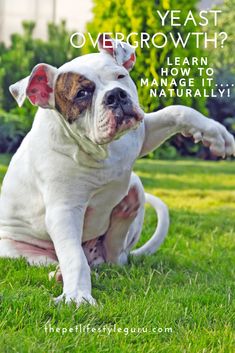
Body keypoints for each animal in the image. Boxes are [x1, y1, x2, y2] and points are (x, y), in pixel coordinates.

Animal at [0, 33, 234, 306]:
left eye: (120, 76)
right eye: (82, 93)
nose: (116, 96)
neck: (98, 148)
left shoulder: (142, 134)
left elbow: (176, 111)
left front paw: (216, 134)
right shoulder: (64, 211)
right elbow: (73, 256)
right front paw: (77, 295)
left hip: (135, 190)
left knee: (116, 256)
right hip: (16, 250)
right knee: (57, 260)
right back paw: (58, 274)